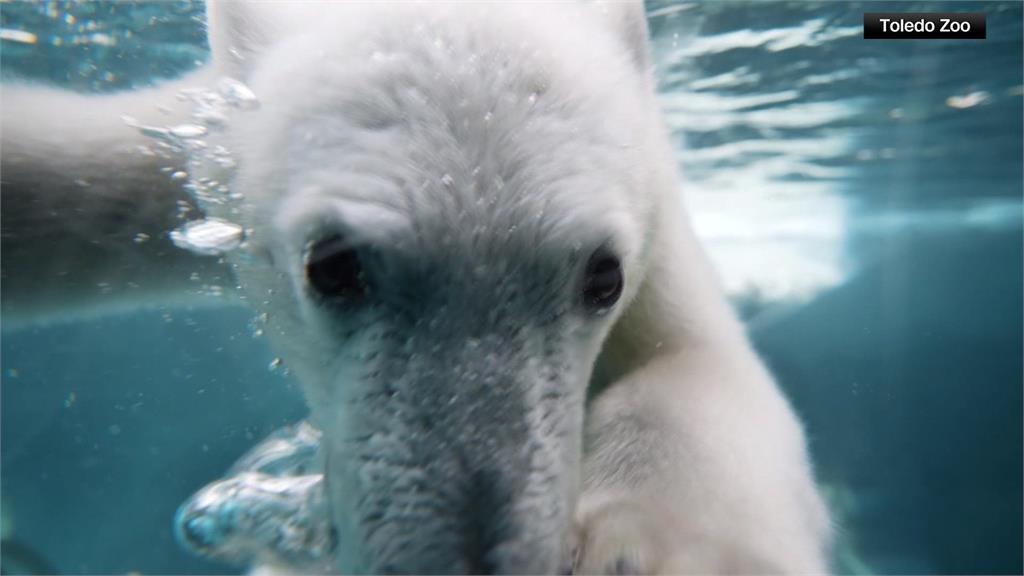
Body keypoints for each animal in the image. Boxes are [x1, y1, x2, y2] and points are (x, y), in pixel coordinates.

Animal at [0, 1, 831, 573]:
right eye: (332, 267)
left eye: (604, 278)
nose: (472, 559)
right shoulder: (193, 149)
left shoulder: (654, 204)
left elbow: (699, 361)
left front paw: (654, 549)